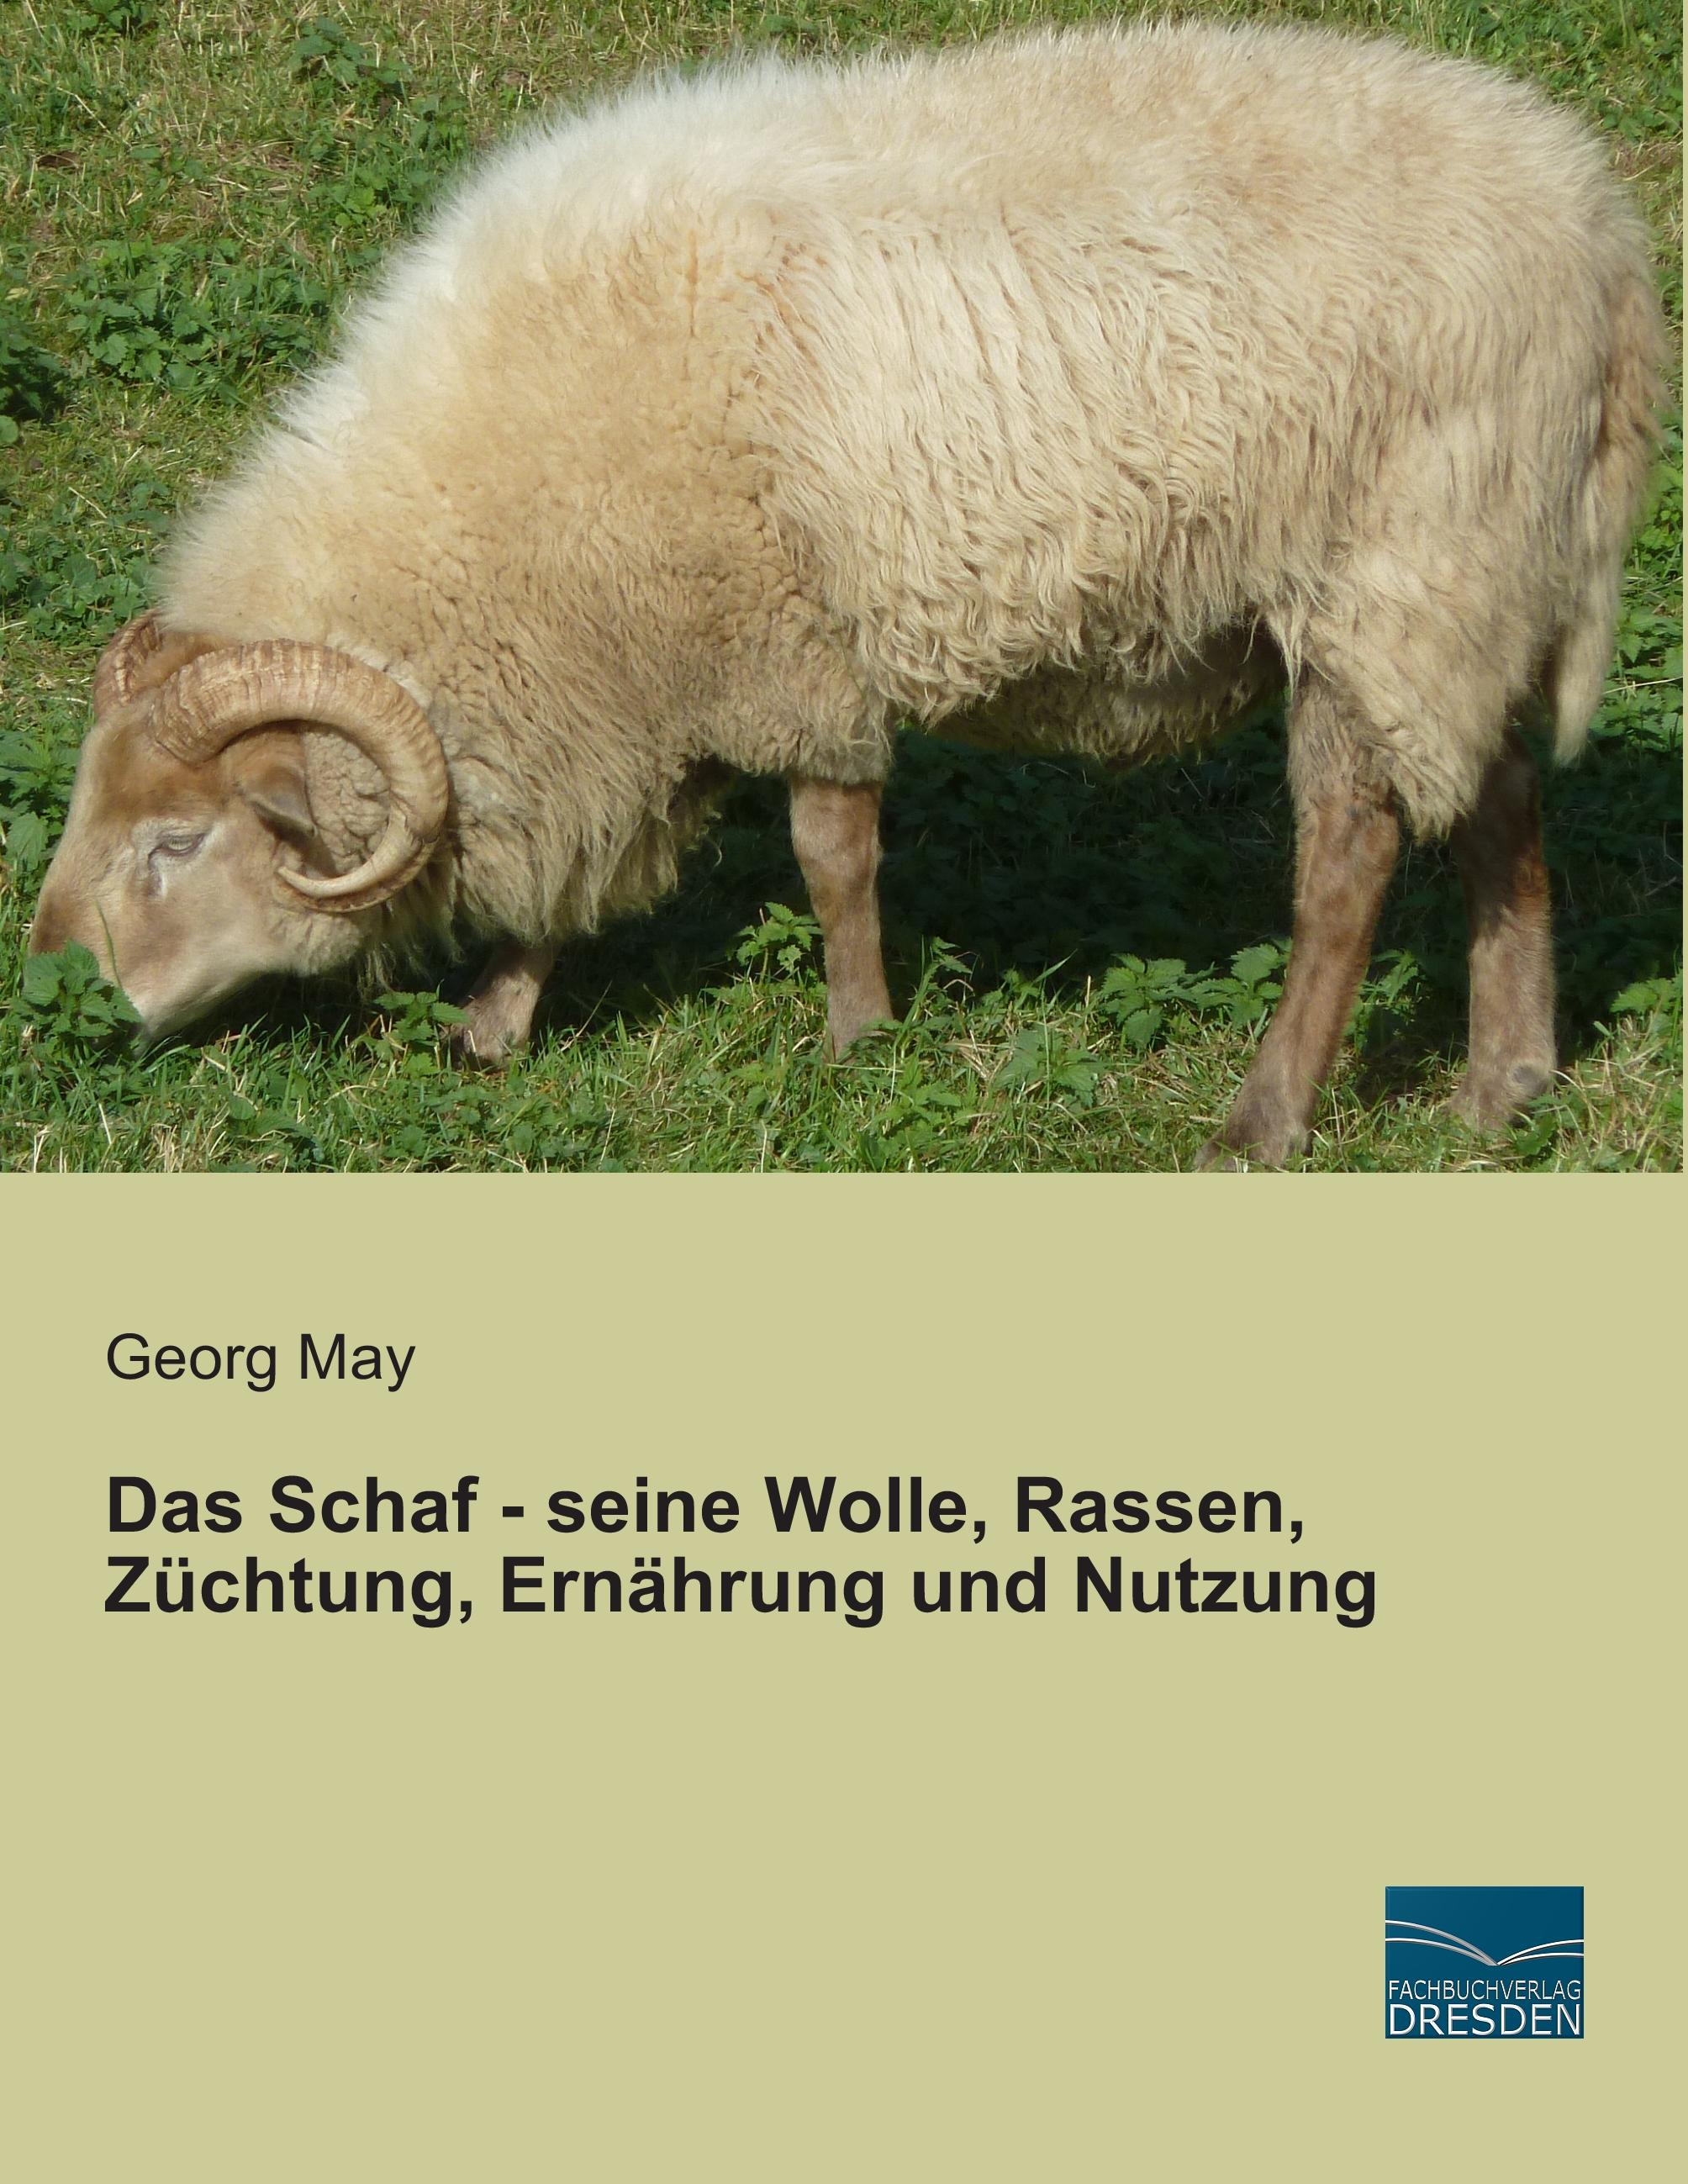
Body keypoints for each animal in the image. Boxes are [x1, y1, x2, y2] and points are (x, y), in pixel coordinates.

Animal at [30, 21, 1663, 1165]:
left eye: (175, 841)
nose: (55, 987)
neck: (489, 508)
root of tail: (1602, 239)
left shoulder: (779, 641)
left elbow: (830, 855)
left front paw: (857, 1040)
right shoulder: (628, 684)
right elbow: (577, 873)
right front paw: (492, 1027)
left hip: (1385, 582)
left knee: (1347, 866)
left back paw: (1264, 1122)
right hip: (1481, 588)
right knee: (1504, 812)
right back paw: (1505, 1083)